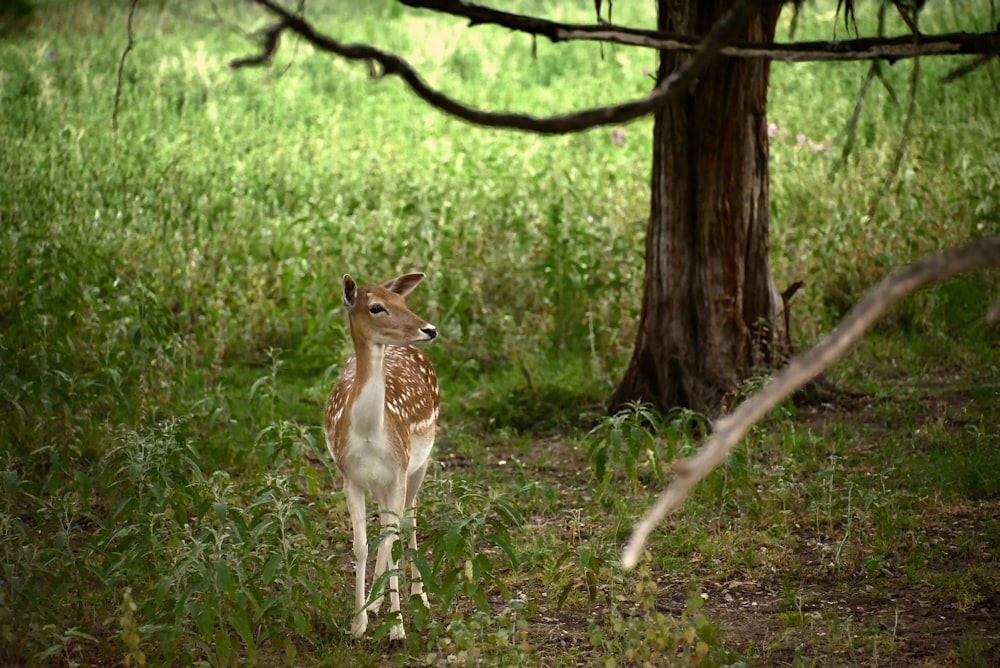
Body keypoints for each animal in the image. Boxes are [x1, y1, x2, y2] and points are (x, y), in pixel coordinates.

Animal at [324, 272, 442, 640]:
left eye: (402, 301)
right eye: (376, 307)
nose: (429, 329)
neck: (369, 434)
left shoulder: (399, 470)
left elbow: (393, 535)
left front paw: (397, 628)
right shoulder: (350, 477)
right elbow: (362, 544)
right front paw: (358, 622)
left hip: (420, 463)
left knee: (410, 519)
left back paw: (420, 597)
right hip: (381, 482)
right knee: (388, 526)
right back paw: (376, 603)